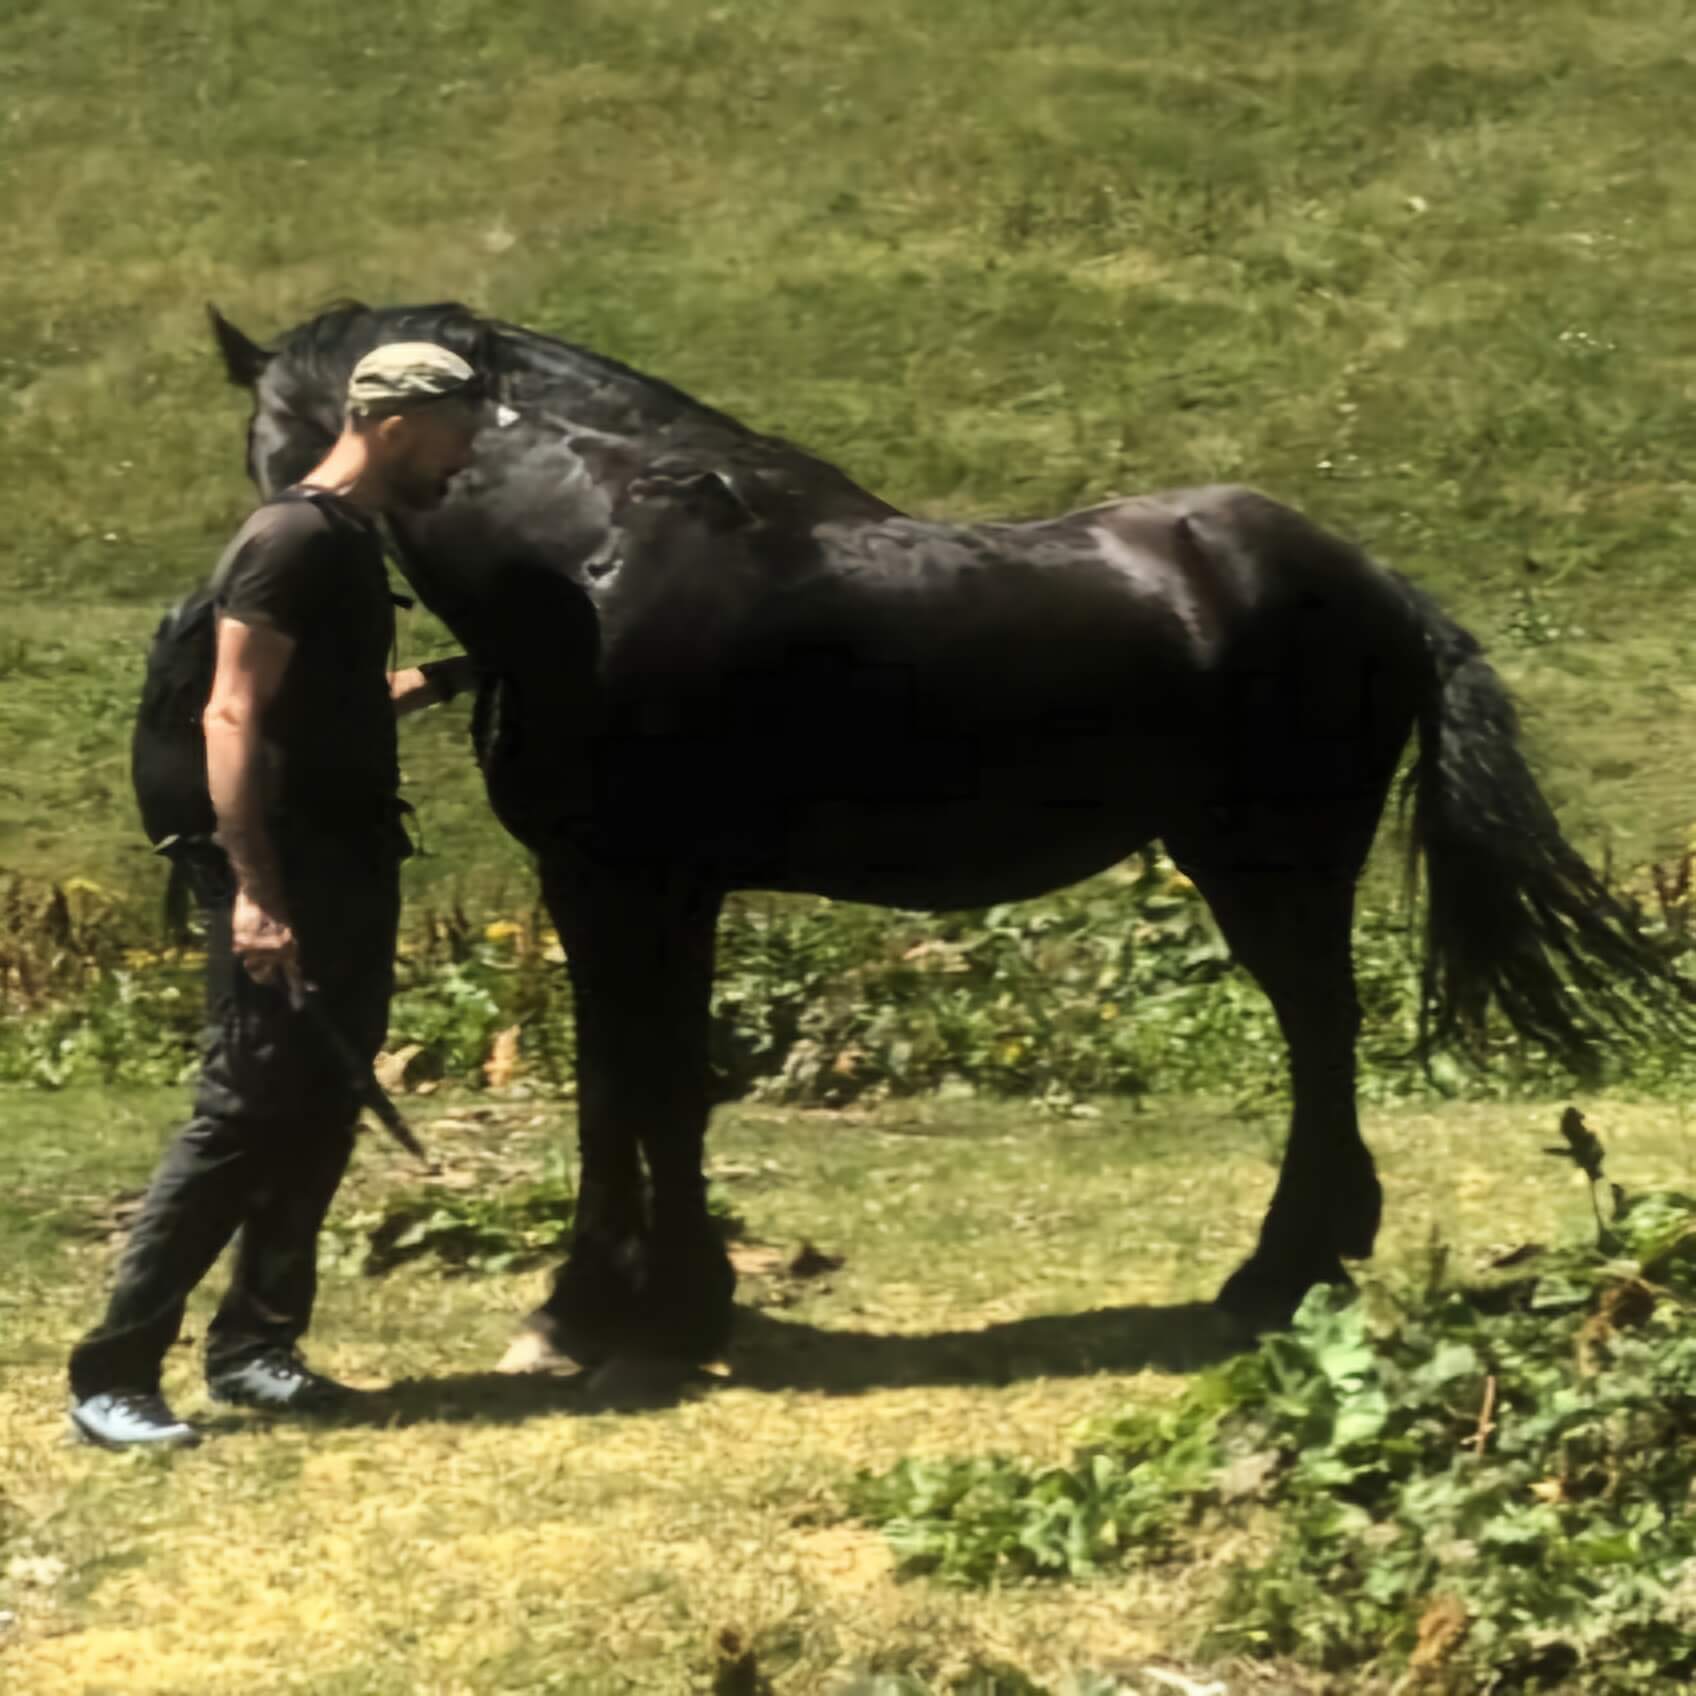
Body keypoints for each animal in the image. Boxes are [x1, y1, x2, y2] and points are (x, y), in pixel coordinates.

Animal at [207, 299, 1690, 1368]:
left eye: (272, 445)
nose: (249, 574)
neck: (588, 566)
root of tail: (1373, 581)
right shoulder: (626, 890)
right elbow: (634, 1087)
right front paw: (639, 1301)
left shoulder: (637, 882)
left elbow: (647, 1088)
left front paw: (622, 1308)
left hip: (1269, 869)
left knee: (1320, 1036)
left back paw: (1277, 1271)